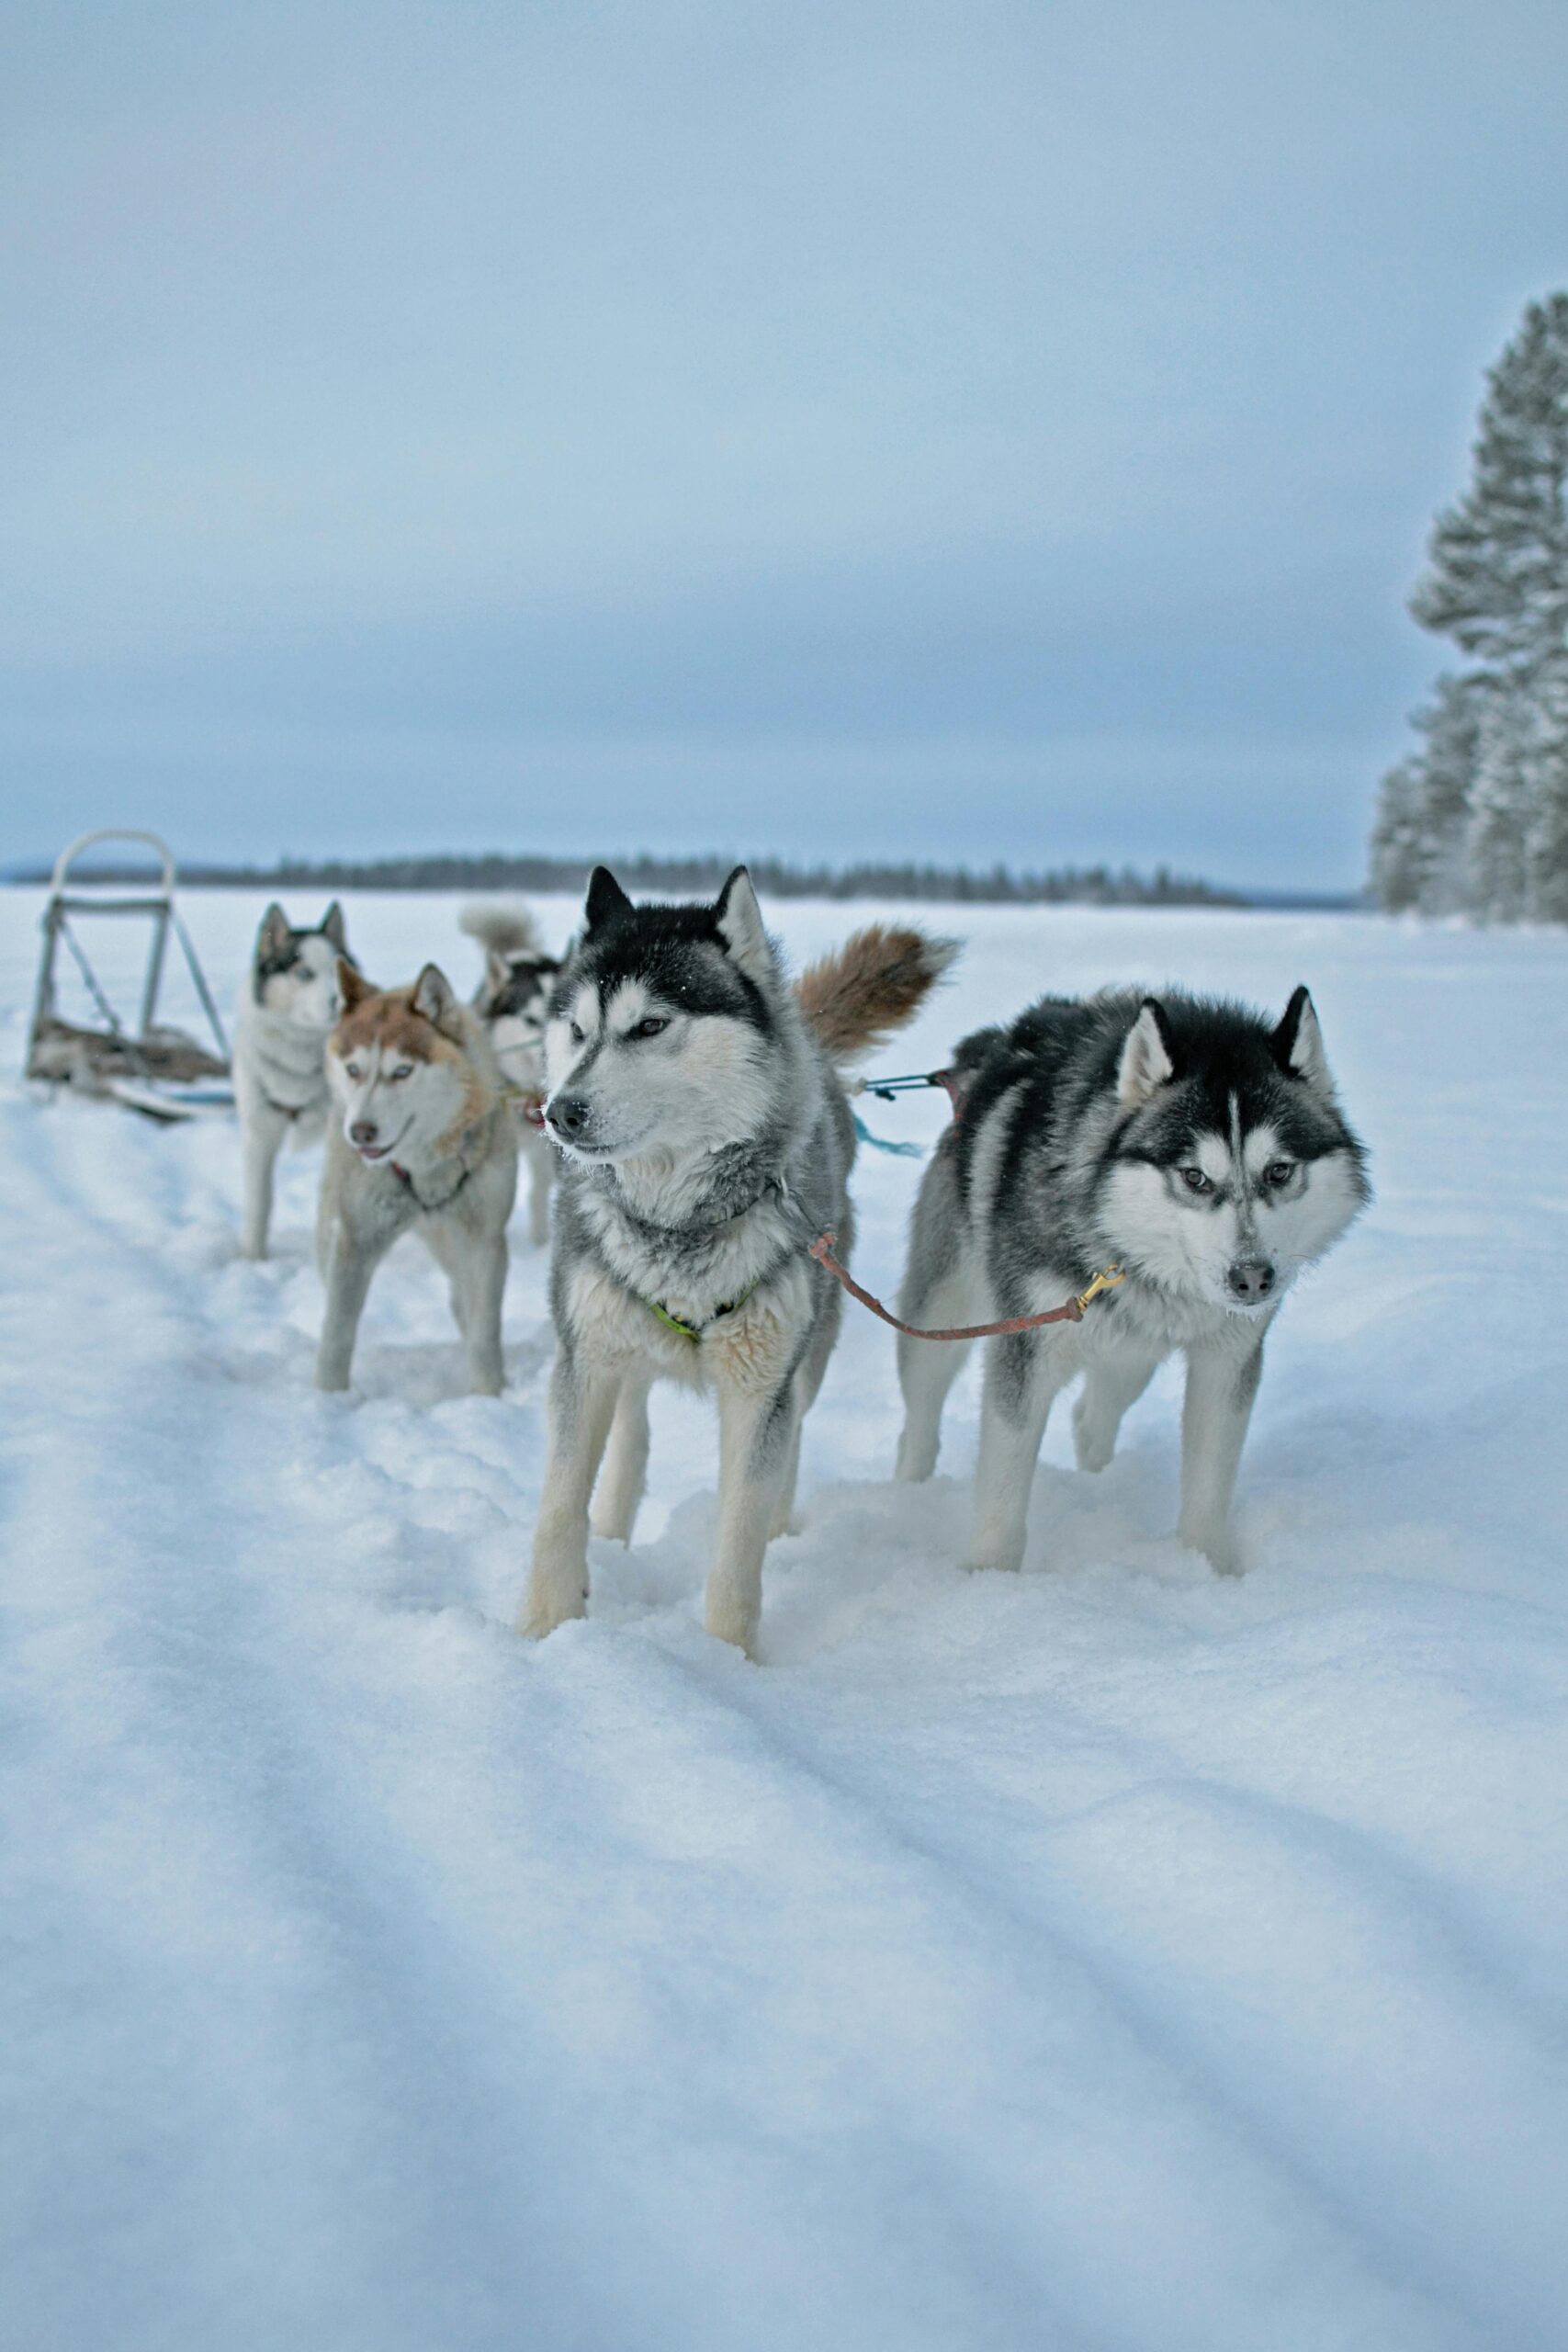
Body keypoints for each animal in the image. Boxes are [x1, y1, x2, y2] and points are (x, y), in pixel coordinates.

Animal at [232, 903, 355, 1270]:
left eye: (338, 971)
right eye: (303, 973)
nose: (340, 1001)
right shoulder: (259, 1134)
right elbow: (260, 1204)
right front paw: (254, 1260)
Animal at [314, 959, 517, 1392]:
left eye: (402, 1071)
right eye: (353, 1070)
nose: (361, 1131)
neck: (424, 1166)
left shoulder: (483, 1239)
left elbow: (484, 1330)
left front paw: (489, 1393)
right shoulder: (357, 1239)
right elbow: (338, 1331)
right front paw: (328, 1395)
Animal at [524, 865, 959, 1656]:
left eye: (649, 1026)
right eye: (576, 1029)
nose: (559, 1112)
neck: (679, 1222)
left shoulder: (761, 1390)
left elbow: (736, 1547)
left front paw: (726, 1659)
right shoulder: (584, 1360)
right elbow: (557, 1513)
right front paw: (543, 1630)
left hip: (807, 1352)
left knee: (786, 1451)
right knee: (630, 1437)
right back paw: (612, 1534)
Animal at [902, 983, 1363, 1571]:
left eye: (1279, 1171)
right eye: (1194, 1176)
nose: (1253, 1279)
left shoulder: (1227, 1358)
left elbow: (1210, 1482)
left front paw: (1206, 1569)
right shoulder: (1025, 1350)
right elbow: (1003, 1490)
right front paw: (989, 1577)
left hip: (1131, 1354)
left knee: (1093, 1417)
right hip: (942, 1316)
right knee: (921, 1415)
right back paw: (908, 1490)